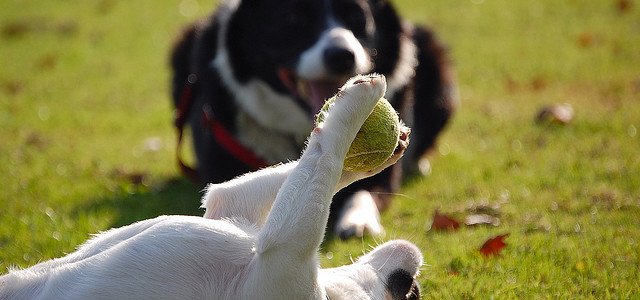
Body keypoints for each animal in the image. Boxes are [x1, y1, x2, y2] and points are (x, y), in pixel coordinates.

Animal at [0, 74, 422, 298]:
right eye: (407, 294)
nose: (410, 280)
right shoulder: (228, 204)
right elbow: (323, 161)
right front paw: (386, 141)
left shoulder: (283, 249)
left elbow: (325, 156)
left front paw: (357, 107)